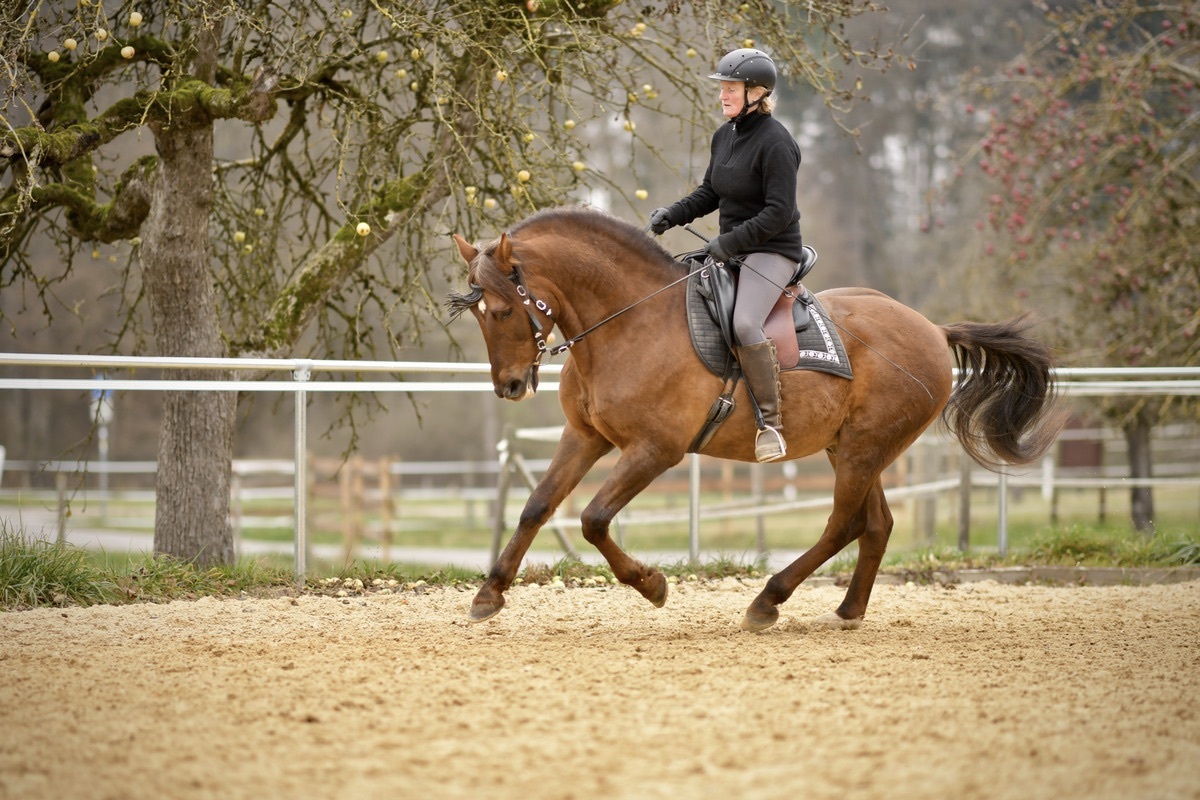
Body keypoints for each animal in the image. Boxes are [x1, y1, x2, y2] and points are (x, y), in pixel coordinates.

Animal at [448, 206, 1060, 633]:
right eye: (479, 314)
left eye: (500, 310)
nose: (508, 386)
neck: (629, 323)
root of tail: (932, 328)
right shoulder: (585, 437)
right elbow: (537, 507)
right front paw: (489, 594)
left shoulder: (655, 451)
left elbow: (594, 519)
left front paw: (652, 585)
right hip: (853, 448)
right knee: (877, 525)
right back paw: (847, 610)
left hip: (863, 450)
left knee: (844, 525)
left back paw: (768, 600)